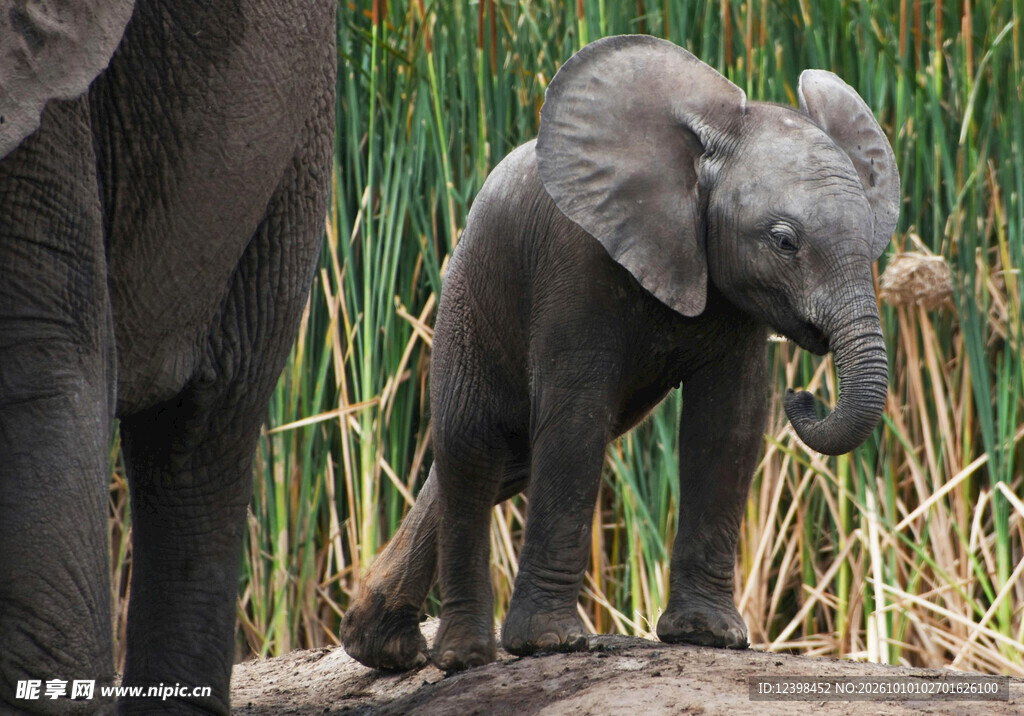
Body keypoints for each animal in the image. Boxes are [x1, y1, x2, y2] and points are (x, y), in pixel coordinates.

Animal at [340, 34, 899, 672]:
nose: (803, 396)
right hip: (465, 303)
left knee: (504, 462)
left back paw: (380, 646)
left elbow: (727, 423)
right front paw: (551, 644)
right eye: (785, 242)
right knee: (472, 451)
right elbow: (575, 422)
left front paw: (708, 636)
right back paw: (461, 657)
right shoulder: (575, 260)